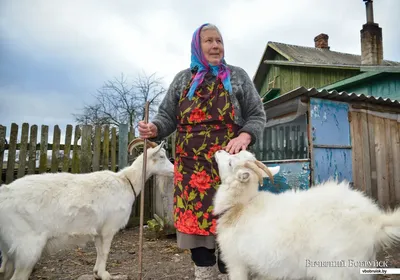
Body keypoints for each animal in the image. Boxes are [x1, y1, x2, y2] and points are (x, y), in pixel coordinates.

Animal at [0, 138, 173, 280]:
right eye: (162, 157)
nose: (174, 170)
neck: (125, 182)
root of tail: (4, 194)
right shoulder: (108, 228)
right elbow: (105, 251)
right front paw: (105, 274)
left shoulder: (97, 230)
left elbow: (98, 250)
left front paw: (96, 272)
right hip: (27, 247)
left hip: (8, 250)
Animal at [214, 150, 400, 278]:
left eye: (230, 163)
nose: (219, 151)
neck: (239, 207)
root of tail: (374, 220)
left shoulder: (236, 262)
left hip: (336, 268)